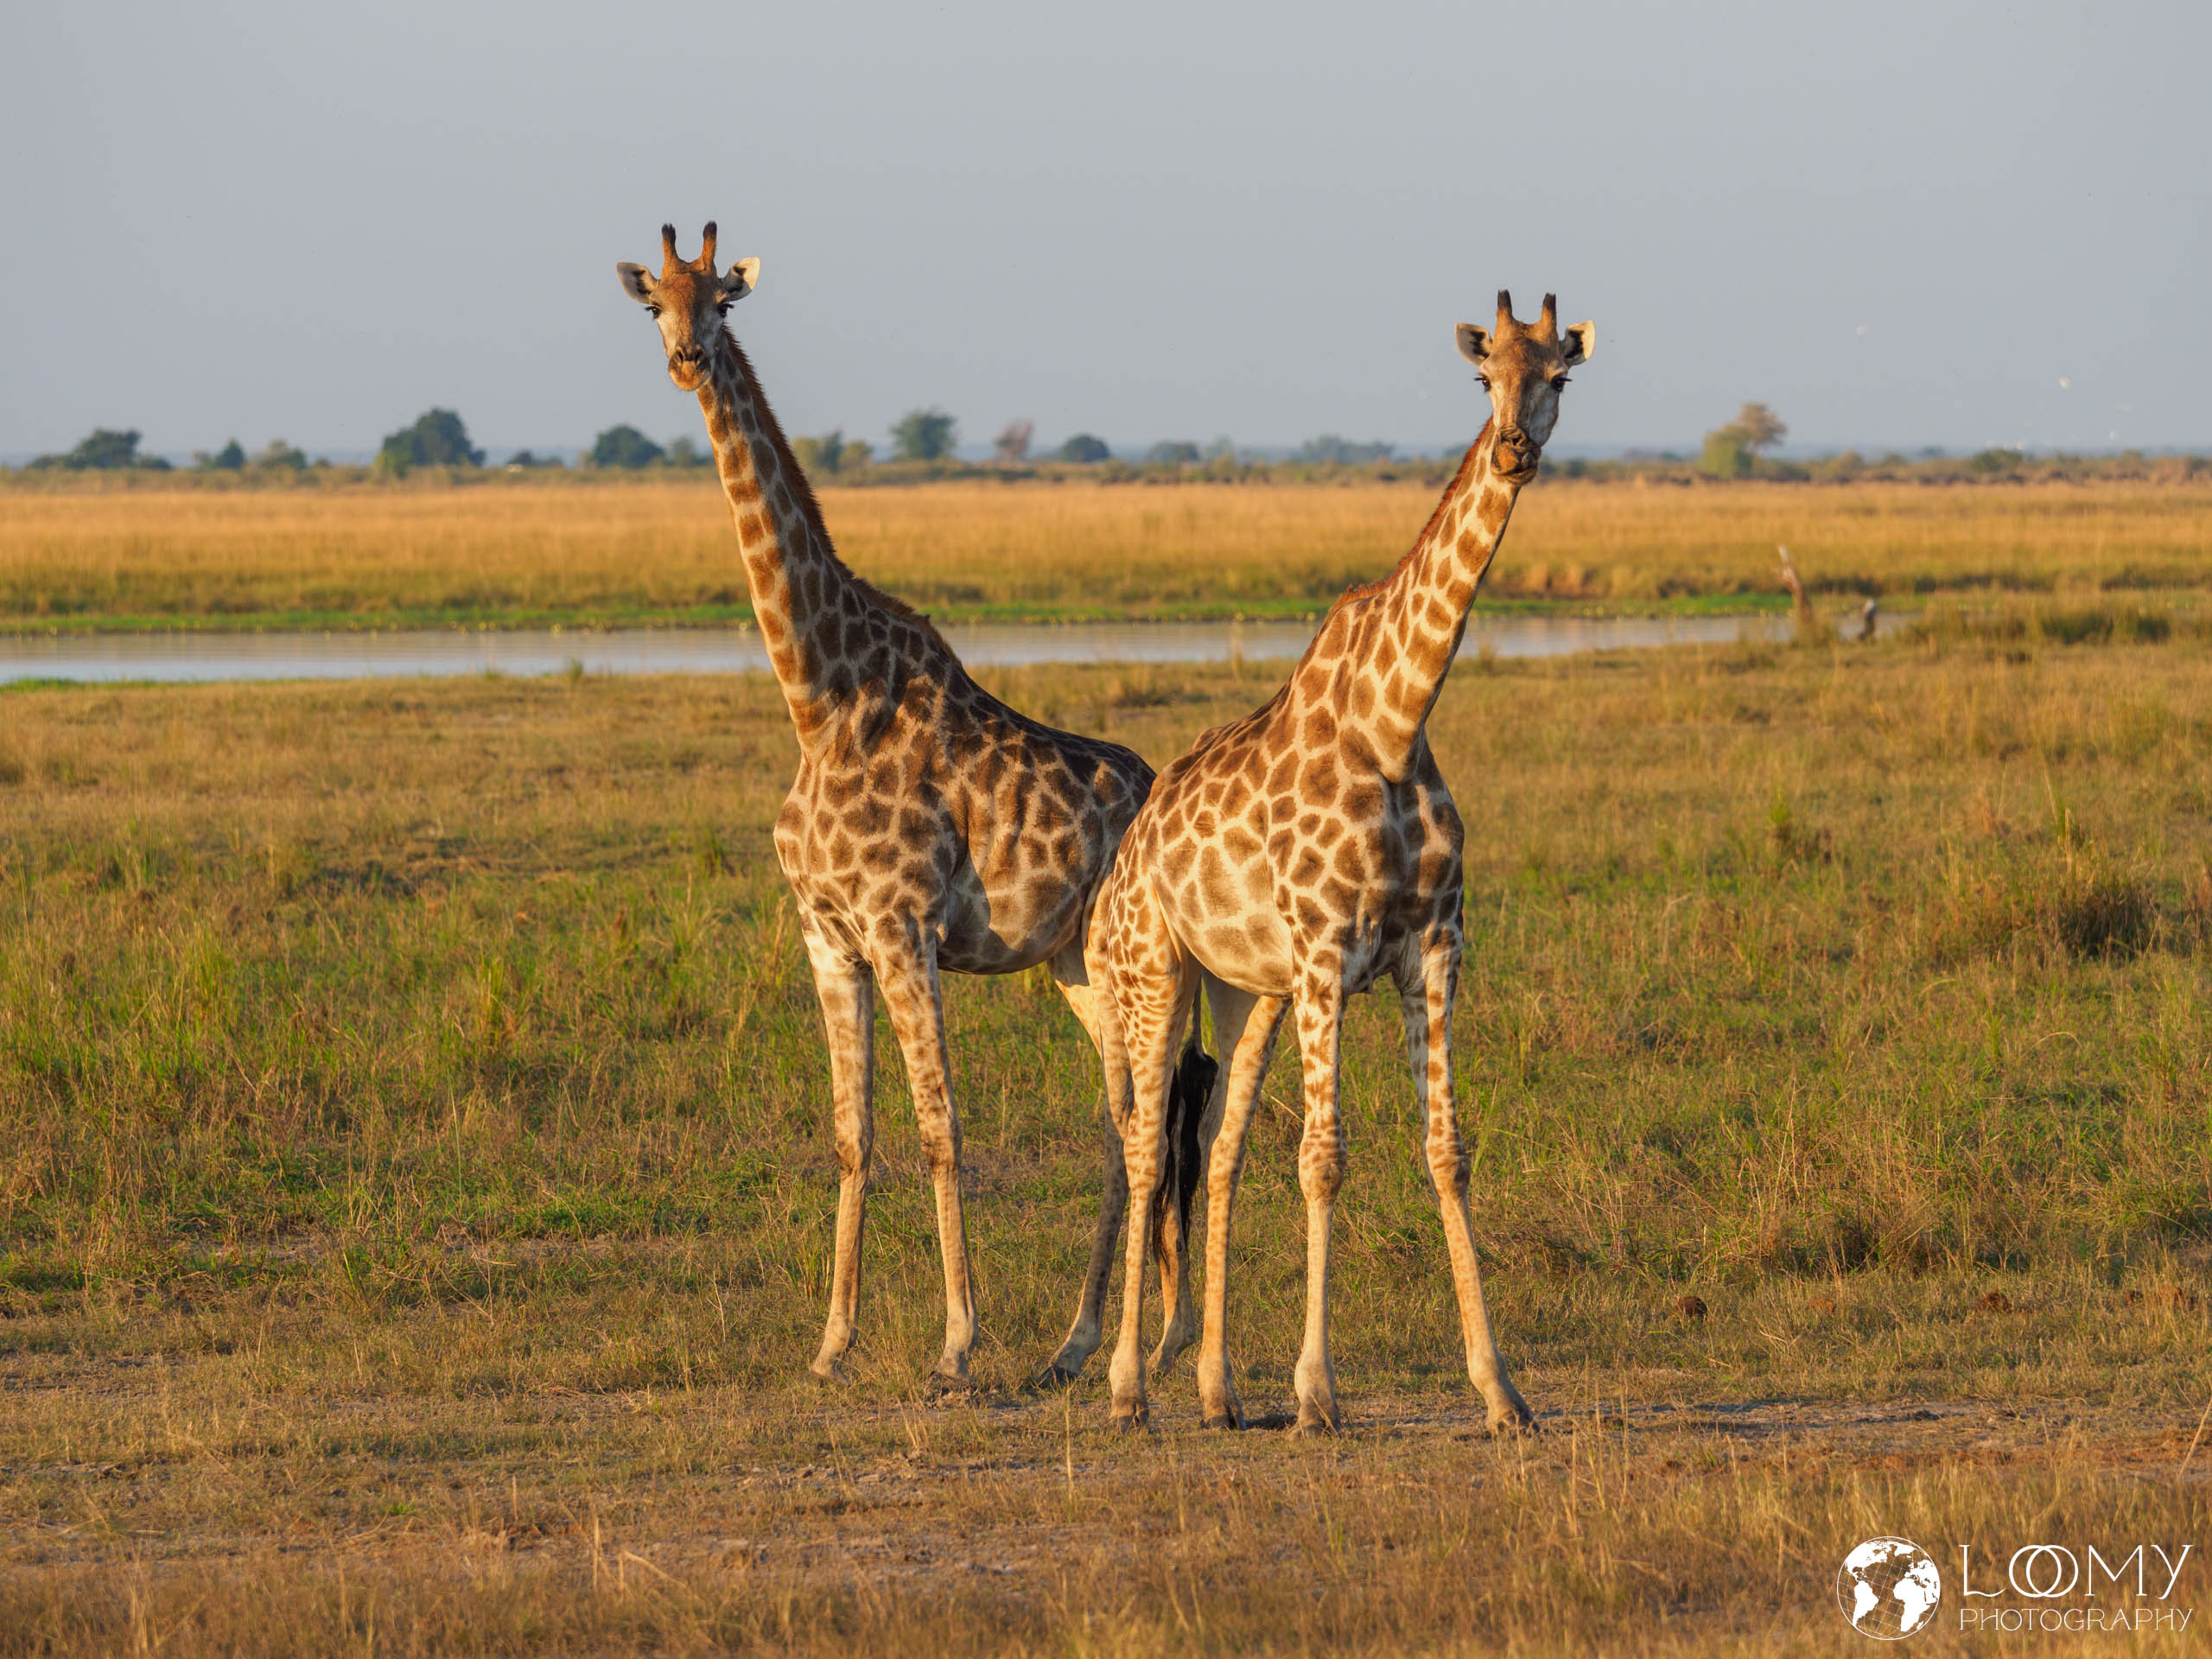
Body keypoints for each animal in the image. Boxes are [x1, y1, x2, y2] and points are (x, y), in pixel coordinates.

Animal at [616, 223, 1212, 1390]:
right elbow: (855, 1135)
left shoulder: (902, 929)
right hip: (1075, 962)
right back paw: (1079, 1347)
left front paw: (954, 1344)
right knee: (1128, 1111)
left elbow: (942, 1129)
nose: (687, 359)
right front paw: (829, 1344)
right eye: (651, 302)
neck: (819, 702)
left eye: (722, 301)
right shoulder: (826, 935)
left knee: (1158, 1109)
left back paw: (1147, 1339)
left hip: (1132, 960)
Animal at [1089, 292, 1594, 1433]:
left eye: (1558, 376)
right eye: (1481, 376)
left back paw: (1218, 1391)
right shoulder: (1326, 956)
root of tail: (1121, 865)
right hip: (1152, 977)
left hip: (1246, 994)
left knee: (1217, 1151)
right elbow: (1322, 1161)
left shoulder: (1432, 952)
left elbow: (1445, 1150)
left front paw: (1501, 1391)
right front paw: (1317, 1392)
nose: (1512, 450)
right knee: (1145, 1151)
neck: (1394, 723)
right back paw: (1129, 1387)